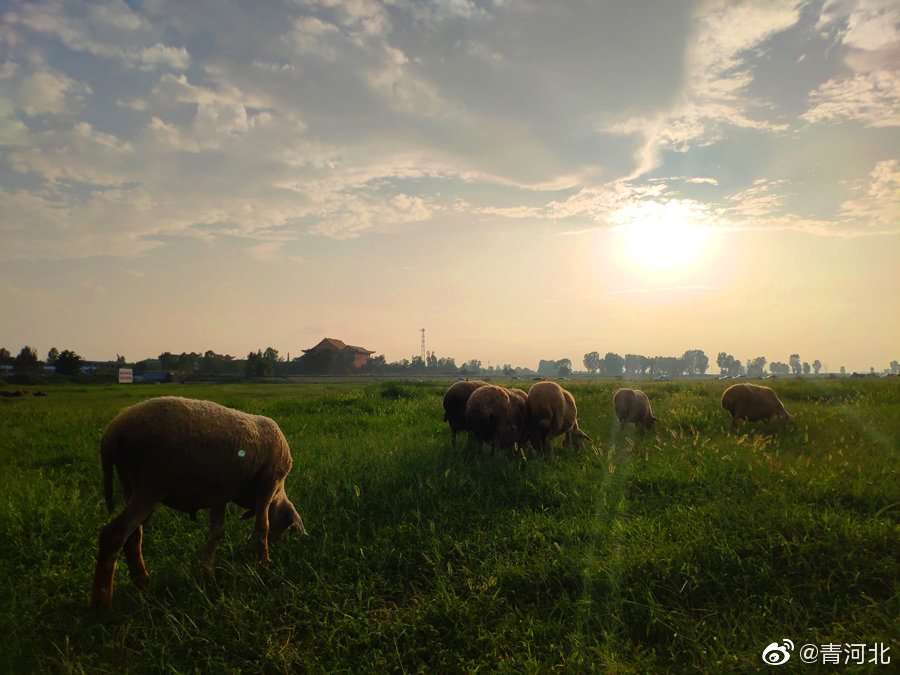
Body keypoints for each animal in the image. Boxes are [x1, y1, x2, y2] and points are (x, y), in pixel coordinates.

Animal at [89, 396, 306, 612]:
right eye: (287, 523)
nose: (276, 542)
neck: (277, 492)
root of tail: (112, 431)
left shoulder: (220, 496)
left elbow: (217, 531)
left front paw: (206, 569)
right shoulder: (268, 482)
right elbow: (262, 526)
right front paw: (263, 562)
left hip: (129, 483)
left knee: (133, 535)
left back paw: (142, 581)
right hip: (151, 483)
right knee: (113, 534)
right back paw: (102, 604)